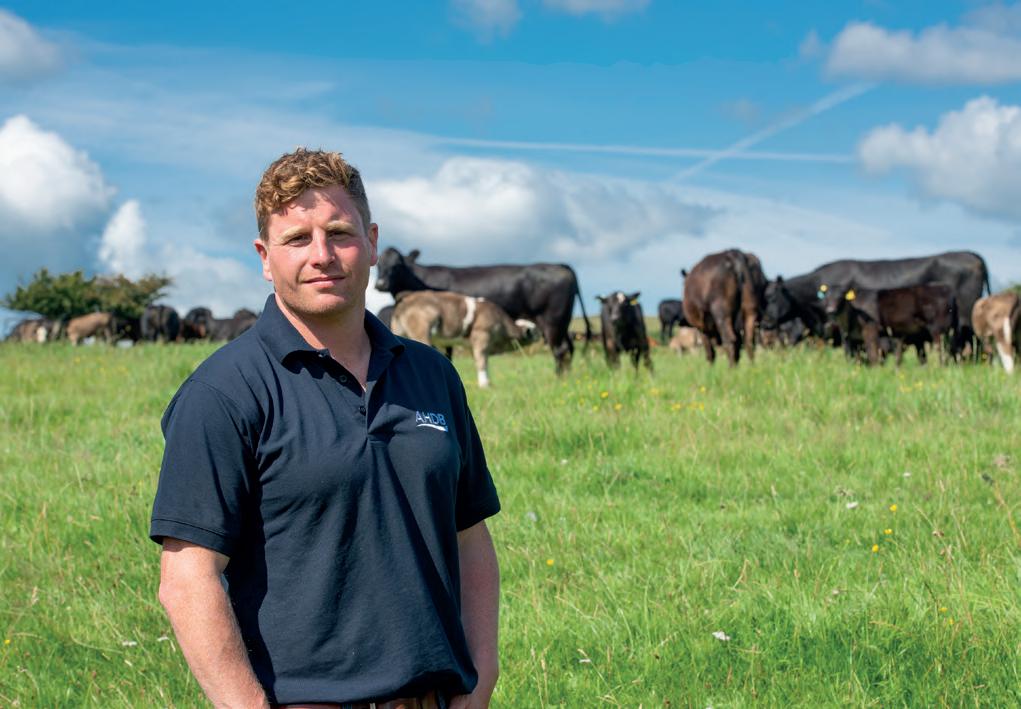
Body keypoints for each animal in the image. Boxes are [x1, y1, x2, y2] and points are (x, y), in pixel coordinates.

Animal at [374, 247, 592, 375]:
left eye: (397, 265)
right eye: (379, 265)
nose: (380, 284)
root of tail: (561, 265)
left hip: (552, 320)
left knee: (560, 349)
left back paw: (558, 378)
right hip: (563, 322)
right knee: (568, 348)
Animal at [389, 290, 538, 388]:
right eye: (535, 331)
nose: (541, 335)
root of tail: (408, 297)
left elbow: (482, 361)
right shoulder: (482, 336)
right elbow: (482, 362)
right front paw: (484, 384)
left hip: (398, 329)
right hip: (421, 332)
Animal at [822, 284, 958, 366]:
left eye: (841, 296)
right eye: (826, 297)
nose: (830, 310)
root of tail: (945, 288)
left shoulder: (871, 331)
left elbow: (872, 354)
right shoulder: (851, 340)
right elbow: (854, 358)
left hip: (938, 331)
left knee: (942, 351)